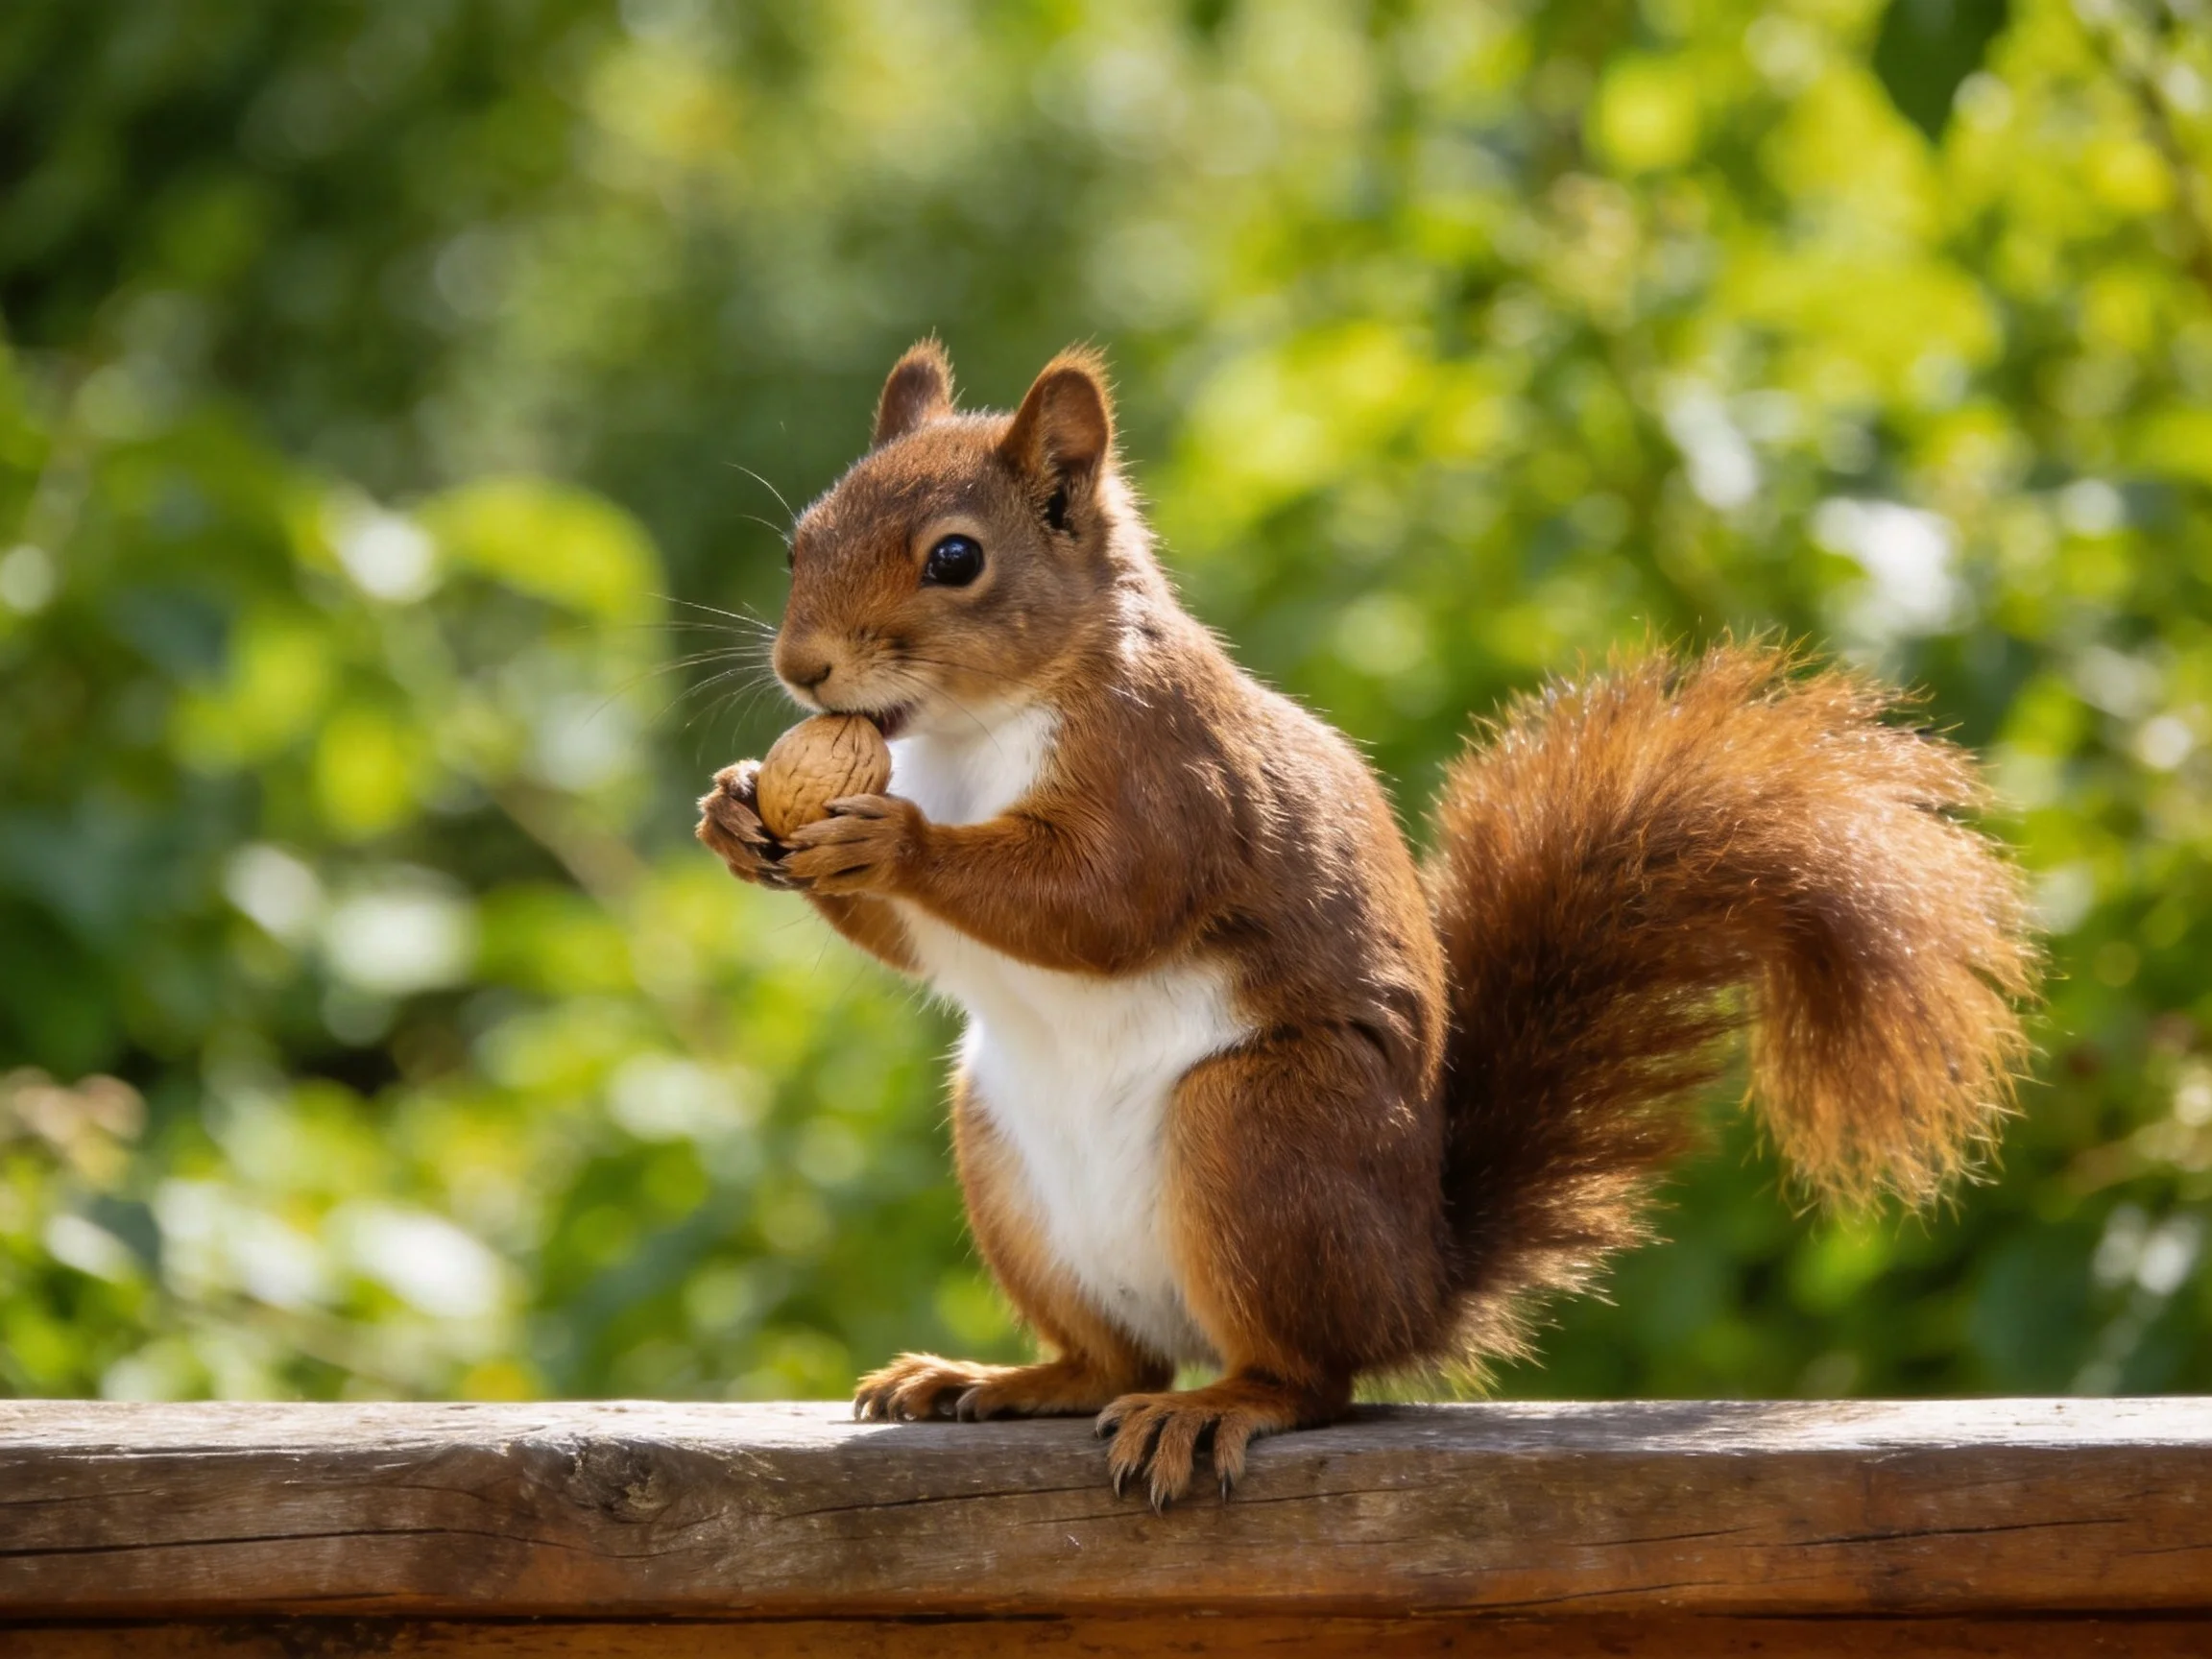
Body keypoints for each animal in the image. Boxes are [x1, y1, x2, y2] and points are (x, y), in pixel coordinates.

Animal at [695, 340, 2038, 1508]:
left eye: (956, 558)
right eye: (801, 540)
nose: (803, 668)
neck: (975, 733)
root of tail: (1412, 1286)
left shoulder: (1171, 779)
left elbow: (1104, 903)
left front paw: (895, 843)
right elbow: (917, 939)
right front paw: (735, 813)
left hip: (1262, 1127)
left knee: (1308, 1379)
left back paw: (1217, 1409)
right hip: (1004, 1154)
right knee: (1115, 1361)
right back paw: (1000, 1377)